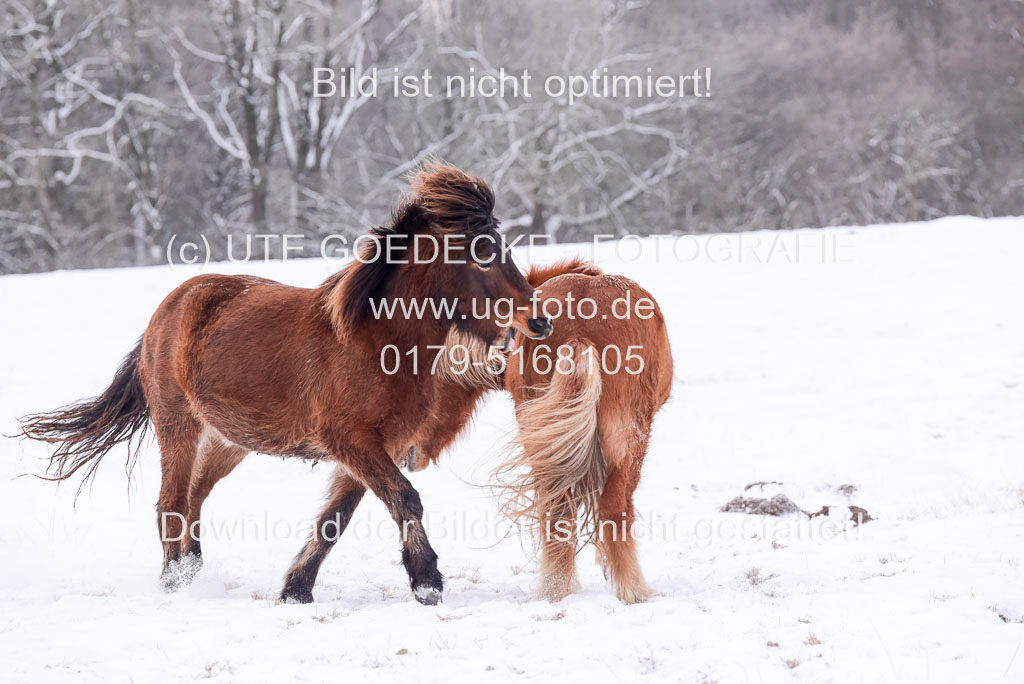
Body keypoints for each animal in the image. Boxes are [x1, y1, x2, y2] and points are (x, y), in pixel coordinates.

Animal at [18, 162, 553, 606]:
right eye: (481, 257)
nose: (539, 322)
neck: (378, 340)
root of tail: (168, 309)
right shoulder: (353, 442)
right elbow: (405, 499)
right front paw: (426, 583)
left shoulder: (373, 449)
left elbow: (335, 520)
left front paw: (297, 589)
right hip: (179, 428)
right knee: (170, 503)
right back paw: (173, 584)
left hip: (228, 441)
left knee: (193, 499)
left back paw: (190, 571)